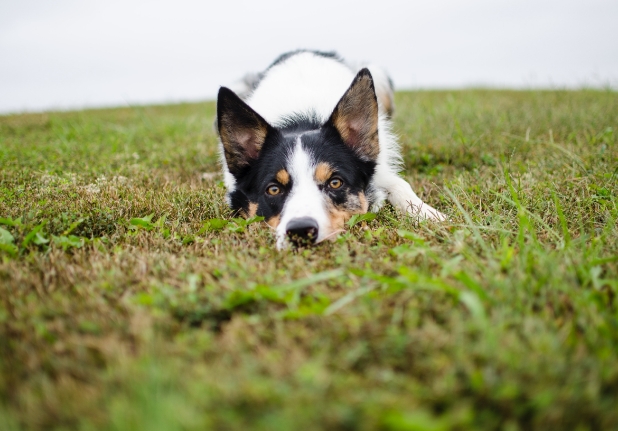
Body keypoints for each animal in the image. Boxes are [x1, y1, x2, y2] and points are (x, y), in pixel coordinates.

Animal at [217, 49, 442, 250]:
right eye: (273, 189)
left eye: (335, 183)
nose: (301, 231)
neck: (302, 120)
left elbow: (400, 184)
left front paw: (427, 214)